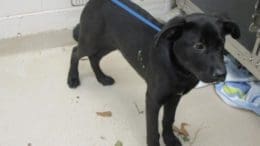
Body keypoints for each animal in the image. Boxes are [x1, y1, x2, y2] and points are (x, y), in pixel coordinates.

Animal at [67, 0, 240, 145]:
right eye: (199, 46)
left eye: (221, 45)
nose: (221, 74)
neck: (178, 68)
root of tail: (96, 1)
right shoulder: (153, 99)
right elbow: (152, 129)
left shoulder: (175, 97)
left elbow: (168, 120)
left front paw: (170, 139)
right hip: (91, 40)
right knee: (76, 52)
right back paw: (73, 79)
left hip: (110, 43)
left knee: (94, 57)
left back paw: (102, 78)